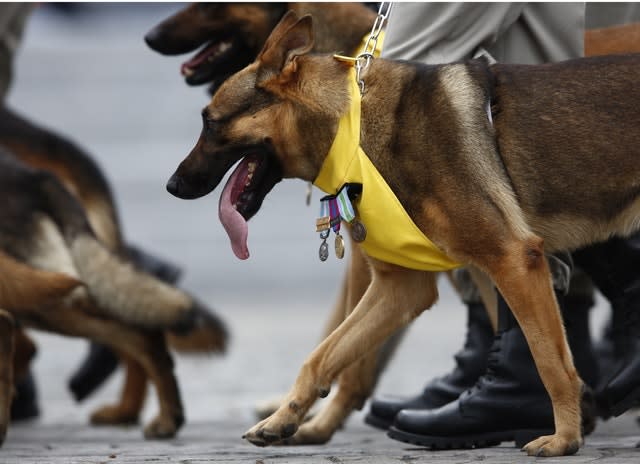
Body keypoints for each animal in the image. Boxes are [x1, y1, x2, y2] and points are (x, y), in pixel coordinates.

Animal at [168, 11, 640, 456]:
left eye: (210, 123)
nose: (172, 186)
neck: (352, 126)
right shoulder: (402, 288)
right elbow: (325, 354)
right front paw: (286, 419)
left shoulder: (512, 260)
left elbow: (550, 361)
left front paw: (565, 439)